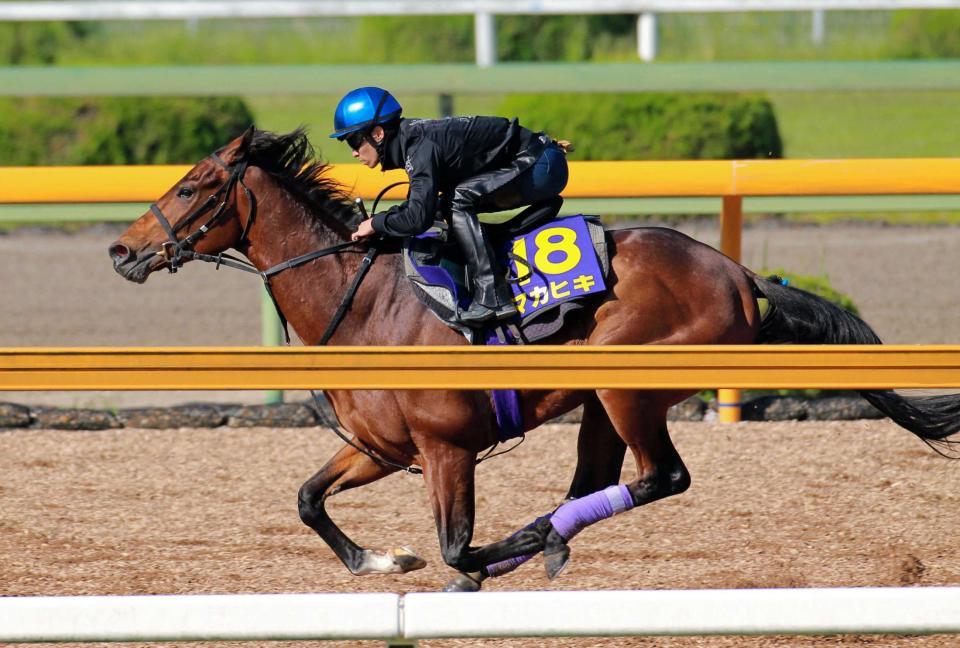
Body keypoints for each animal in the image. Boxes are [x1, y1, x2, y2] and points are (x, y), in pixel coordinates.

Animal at [109, 126, 956, 592]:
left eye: (191, 187)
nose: (122, 250)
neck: (369, 305)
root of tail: (737, 273)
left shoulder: (448, 448)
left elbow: (457, 544)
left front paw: (471, 560)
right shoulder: (383, 448)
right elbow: (310, 500)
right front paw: (381, 563)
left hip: (626, 387)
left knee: (662, 478)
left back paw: (541, 537)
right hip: (601, 403)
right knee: (600, 483)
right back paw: (548, 536)